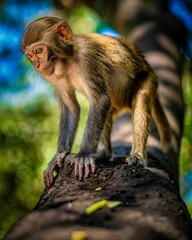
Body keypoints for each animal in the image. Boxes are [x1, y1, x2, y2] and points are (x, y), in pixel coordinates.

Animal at [21, 16, 171, 187]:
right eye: (30, 56)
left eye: (39, 51)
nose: (38, 65)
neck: (68, 60)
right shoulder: (55, 76)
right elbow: (71, 108)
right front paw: (60, 154)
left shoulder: (87, 58)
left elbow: (100, 100)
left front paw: (84, 155)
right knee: (108, 111)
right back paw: (104, 154)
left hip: (148, 78)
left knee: (141, 99)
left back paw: (137, 156)